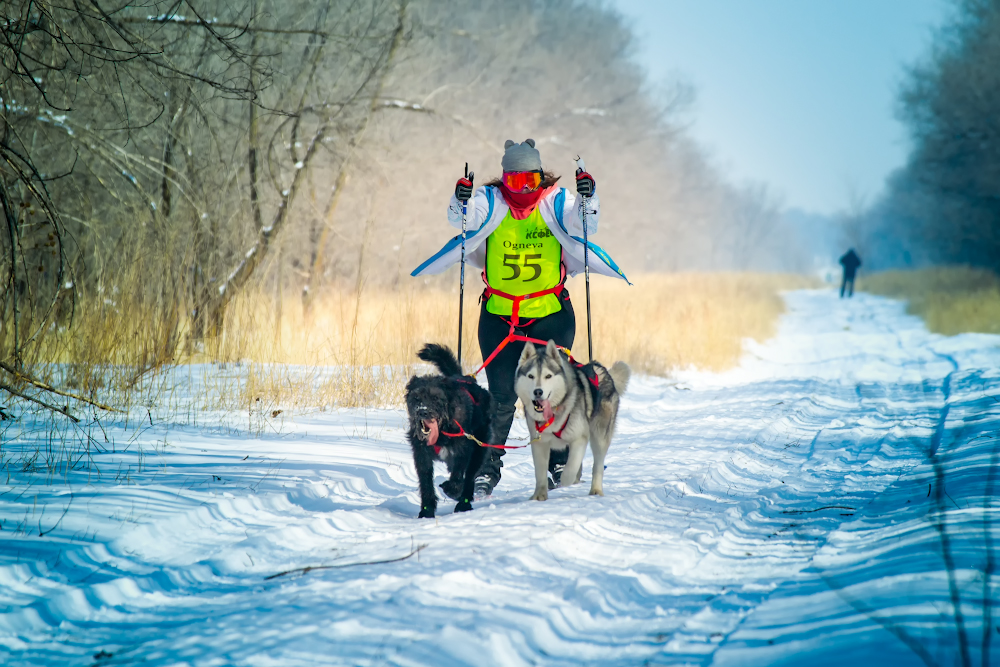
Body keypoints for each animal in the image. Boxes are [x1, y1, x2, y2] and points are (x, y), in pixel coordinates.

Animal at [406, 344, 496, 520]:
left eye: (435, 398)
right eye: (416, 398)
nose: (423, 411)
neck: (442, 432)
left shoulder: (463, 450)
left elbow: (458, 477)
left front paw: (452, 490)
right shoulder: (421, 455)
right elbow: (426, 482)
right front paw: (426, 510)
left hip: (479, 450)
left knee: (469, 477)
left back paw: (464, 503)